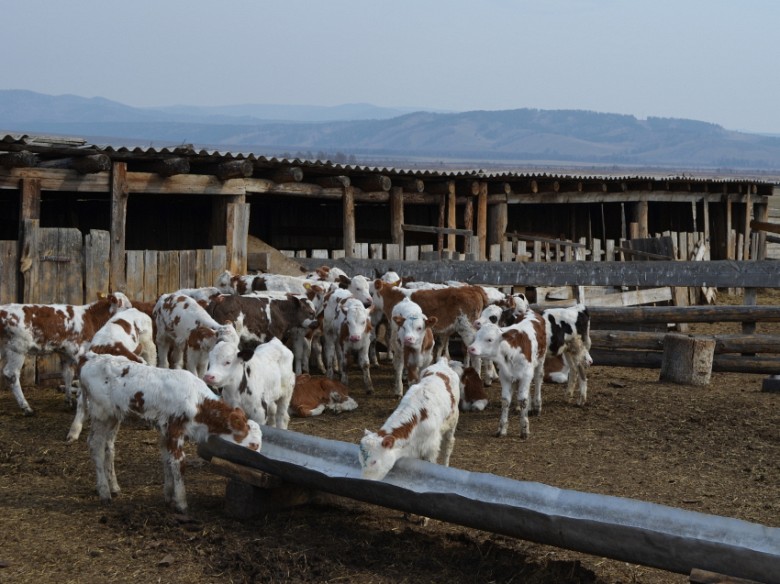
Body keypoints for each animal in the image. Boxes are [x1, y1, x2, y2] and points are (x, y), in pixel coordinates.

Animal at [0, 292, 132, 416]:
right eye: (127, 307)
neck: (90, 318)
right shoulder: (79, 352)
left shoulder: (65, 353)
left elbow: (68, 374)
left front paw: (69, 402)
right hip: (17, 348)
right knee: (11, 374)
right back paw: (26, 408)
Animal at [80, 352, 262, 512]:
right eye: (253, 445)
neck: (197, 402)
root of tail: (92, 358)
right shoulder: (175, 429)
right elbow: (178, 463)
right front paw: (181, 503)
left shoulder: (165, 431)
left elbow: (167, 460)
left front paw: (168, 495)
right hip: (100, 413)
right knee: (95, 445)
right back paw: (104, 492)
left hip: (114, 416)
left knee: (108, 446)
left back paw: (114, 487)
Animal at [466, 310, 544, 438]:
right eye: (476, 337)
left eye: (490, 339)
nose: (470, 348)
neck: (512, 353)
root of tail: (530, 312)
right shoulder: (505, 376)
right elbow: (505, 401)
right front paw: (502, 429)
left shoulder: (526, 375)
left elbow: (523, 400)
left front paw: (524, 429)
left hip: (540, 361)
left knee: (538, 380)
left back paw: (537, 406)